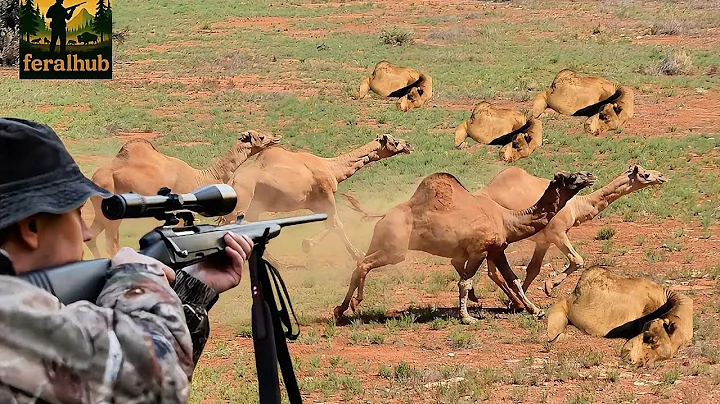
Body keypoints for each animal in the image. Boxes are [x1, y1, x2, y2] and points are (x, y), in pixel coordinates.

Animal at [85, 130, 281, 258]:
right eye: (261, 136)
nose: (276, 136)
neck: (201, 177)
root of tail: (94, 177)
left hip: (100, 209)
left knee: (92, 235)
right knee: (111, 242)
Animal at [217, 134, 413, 262]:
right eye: (395, 141)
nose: (409, 145)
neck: (332, 168)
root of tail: (232, 182)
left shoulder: (314, 203)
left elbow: (330, 224)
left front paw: (307, 244)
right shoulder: (326, 194)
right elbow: (336, 224)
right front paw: (357, 254)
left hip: (253, 207)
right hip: (243, 202)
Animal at [336, 170, 597, 323]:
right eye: (572, 177)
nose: (590, 175)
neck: (506, 219)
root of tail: (383, 214)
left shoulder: (497, 250)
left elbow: (513, 279)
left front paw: (535, 309)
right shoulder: (479, 250)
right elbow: (465, 282)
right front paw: (467, 318)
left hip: (380, 239)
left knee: (360, 262)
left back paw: (343, 307)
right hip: (396, 249)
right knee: (364, 265)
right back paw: (348, 307)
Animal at [475, 164, 667, 306]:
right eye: (645, 174)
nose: (662, 176)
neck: (577, 206)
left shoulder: (544, 241)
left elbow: (533, 269)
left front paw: (516, 303)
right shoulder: (557, 233)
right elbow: (577, 260)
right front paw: (548, 286)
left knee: (492, 272)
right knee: (492, 271)